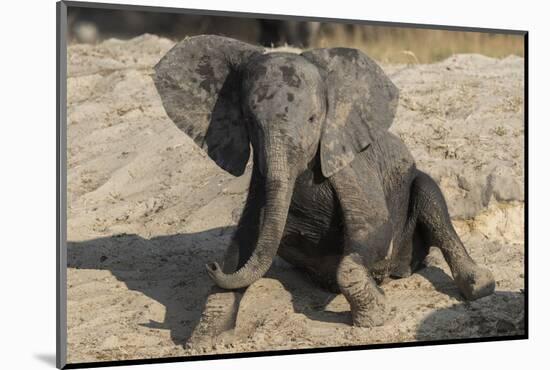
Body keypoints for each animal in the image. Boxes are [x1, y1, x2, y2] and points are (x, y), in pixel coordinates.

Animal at [153, 36, 498, 328]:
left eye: (312, 119)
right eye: (250, 121)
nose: (211, 266)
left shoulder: (347, 163)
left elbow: (375, 225)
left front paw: (374, 316)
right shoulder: (260, 178)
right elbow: (246, 242)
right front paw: (204, 338)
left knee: (430, 197)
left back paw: (480, 286)